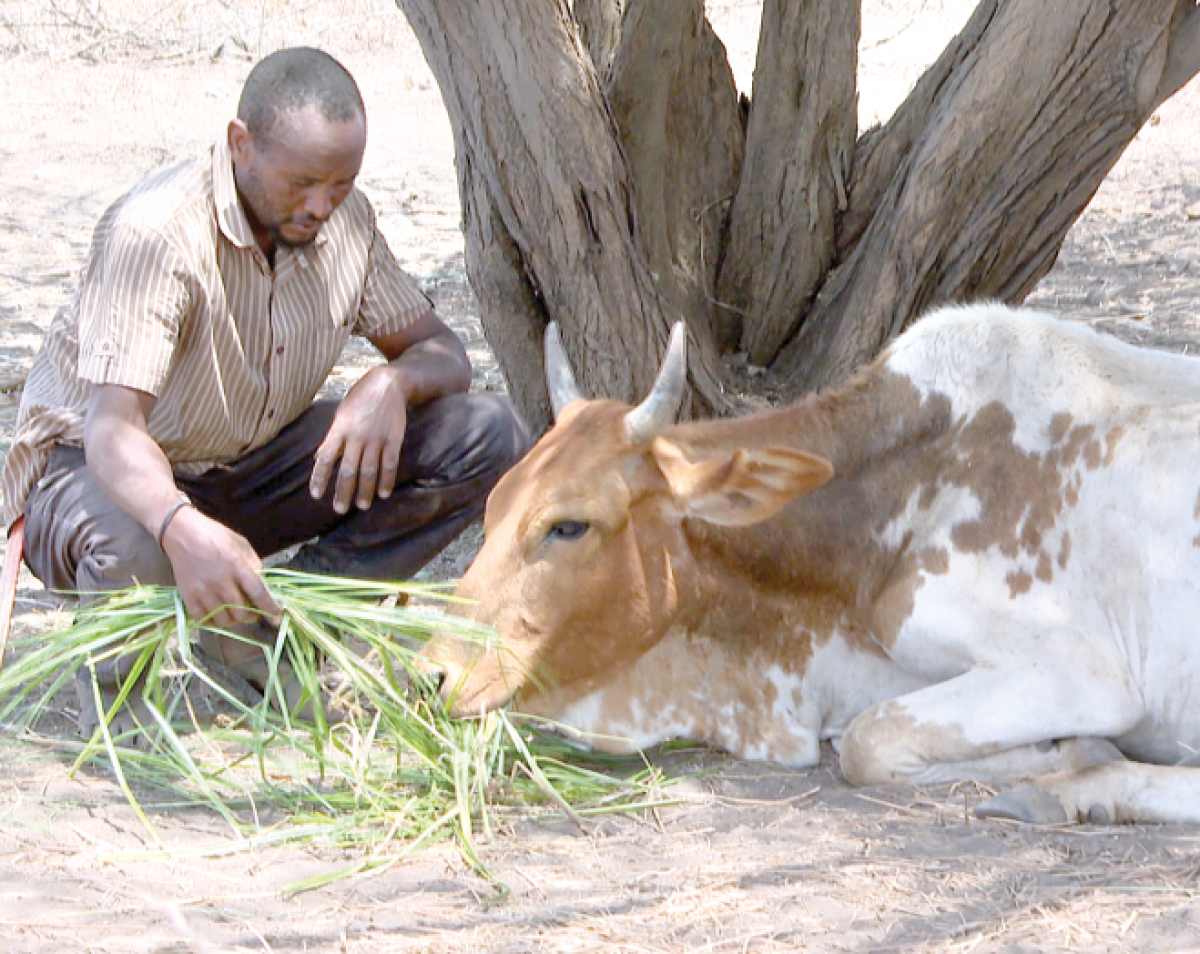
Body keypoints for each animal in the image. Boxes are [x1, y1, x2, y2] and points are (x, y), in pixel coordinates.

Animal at [420, 306, 1200, 830]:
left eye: (568, 525)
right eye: (491, 507)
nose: (430, 675)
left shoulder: (1080, 673)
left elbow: (866, 743)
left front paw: (1067, 753)